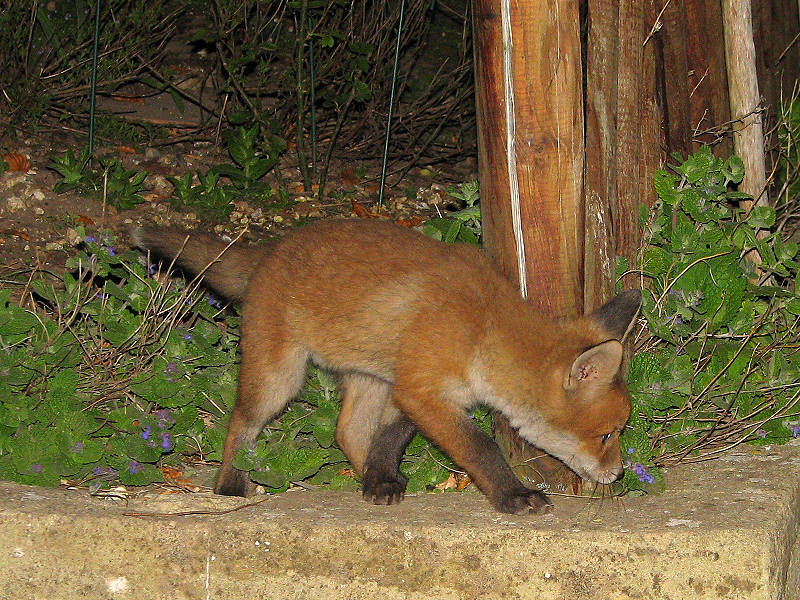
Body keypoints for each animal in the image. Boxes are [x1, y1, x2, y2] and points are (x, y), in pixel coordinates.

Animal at [131, 219, 641, 515]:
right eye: (606, 435)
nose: (618, 475)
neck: (483, 328)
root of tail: (270, 249)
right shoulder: (422, 388)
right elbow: (479, 448)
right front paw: (513, 495)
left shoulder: (409, 386)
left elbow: (389, 438)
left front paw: (379, 477)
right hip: (280, 377)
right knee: (241, 421)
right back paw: (230, 485)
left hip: (369, 377)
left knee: (348, 431)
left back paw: (375, 481)